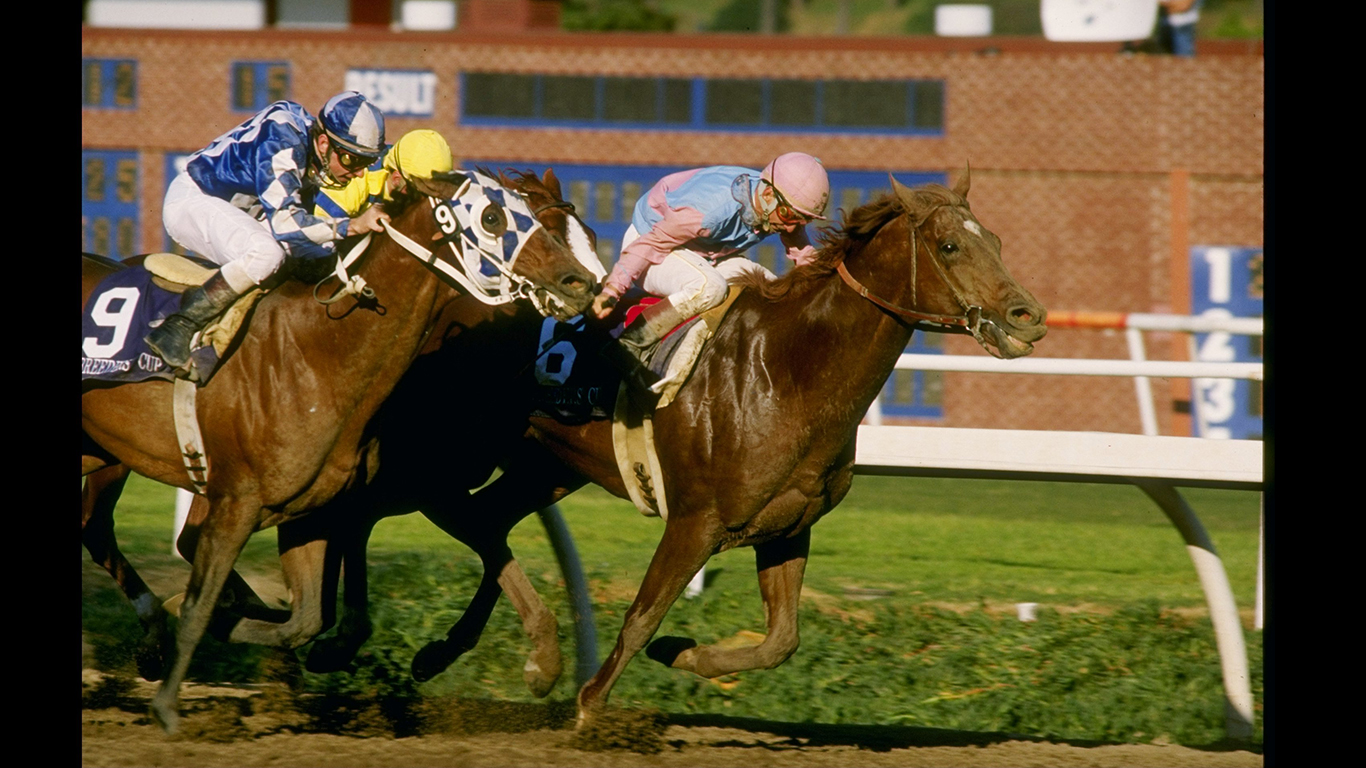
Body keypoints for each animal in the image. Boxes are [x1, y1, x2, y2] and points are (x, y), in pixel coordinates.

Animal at [80, 169, 599, 733]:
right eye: (493, 217)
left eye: (587, 235)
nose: (583, 285)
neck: (317, 350)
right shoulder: (243, 502)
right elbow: (203, 599)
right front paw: (170, 706)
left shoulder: (312, 510)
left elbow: (305, 620)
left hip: (99, 452)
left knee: (97, 528)